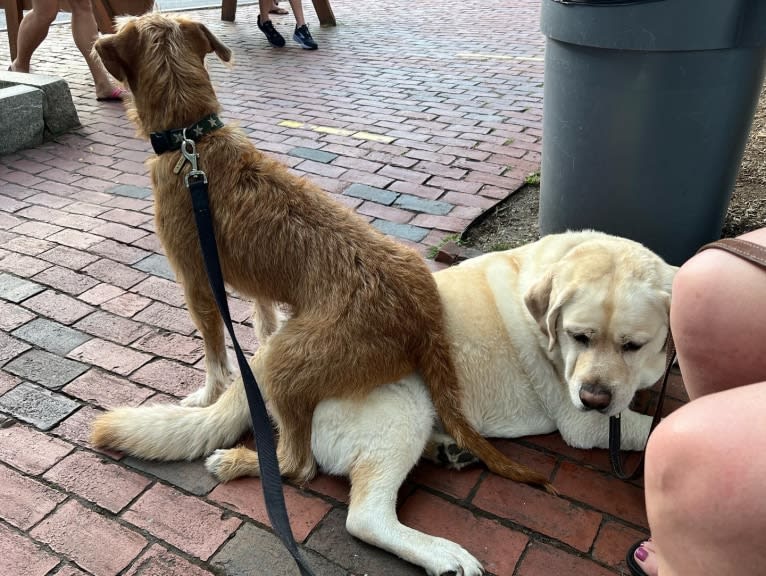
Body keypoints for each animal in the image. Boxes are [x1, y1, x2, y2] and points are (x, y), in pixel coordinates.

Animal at [91, 13, 552, 490]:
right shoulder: (256, 288)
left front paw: (205, 396)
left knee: (298, 463)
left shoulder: (196, 280)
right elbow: (262, 320)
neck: (194, 140)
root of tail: (422, 318)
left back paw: (237, 462)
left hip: (287, 364)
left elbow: (215, 354)